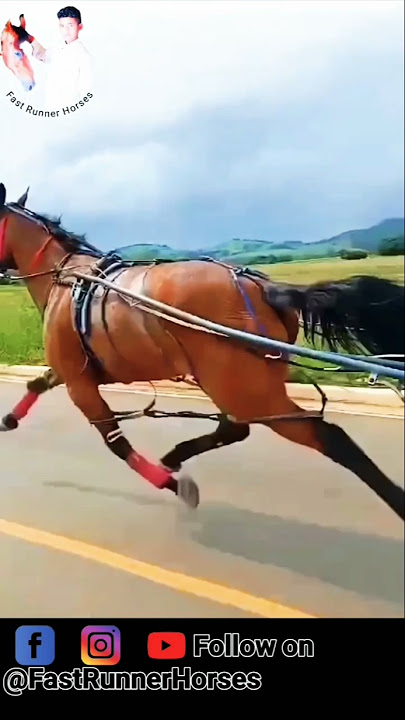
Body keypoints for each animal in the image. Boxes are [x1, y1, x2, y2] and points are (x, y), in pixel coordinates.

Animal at [0, 181, 403, 521]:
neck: (68, 277)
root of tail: (267, 289)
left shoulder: (79, 383)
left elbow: (116, 443)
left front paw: (173, 485)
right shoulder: (72, 370)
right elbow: (37, 384)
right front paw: (8, 420)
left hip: (244, 389)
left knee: (326, 436)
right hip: (233, 382)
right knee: (234, 428)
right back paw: (176, 454)